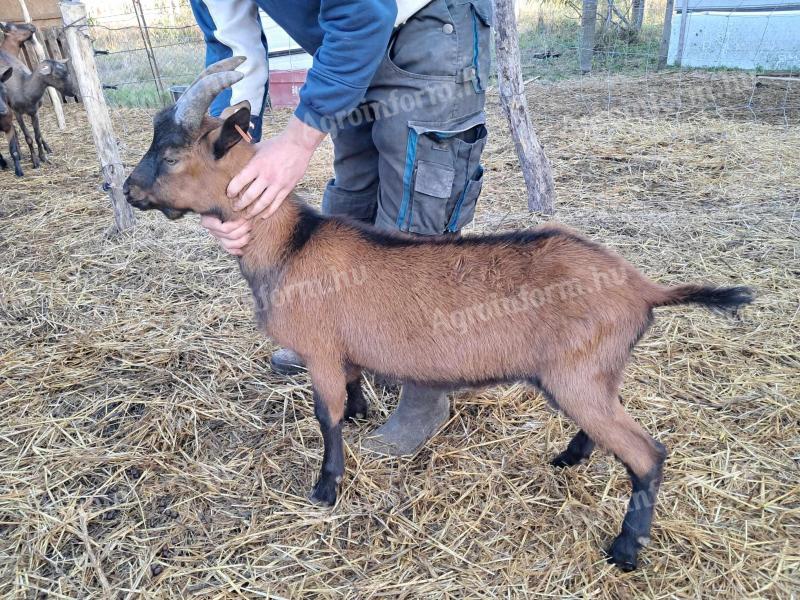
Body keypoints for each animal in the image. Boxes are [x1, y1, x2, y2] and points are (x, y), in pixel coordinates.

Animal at [122, 59, 752, 572]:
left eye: (171, 155)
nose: (127, 190)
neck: (290, 243)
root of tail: (643, 287)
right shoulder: (342, 349)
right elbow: (351, 390)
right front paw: (359, 415)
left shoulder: (318, 348)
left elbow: (326, 416)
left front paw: (326, 488)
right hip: (588, 376)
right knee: (606, 430)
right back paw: (569, 458)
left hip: (578, 375)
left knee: (648, 454)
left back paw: (624, 550)